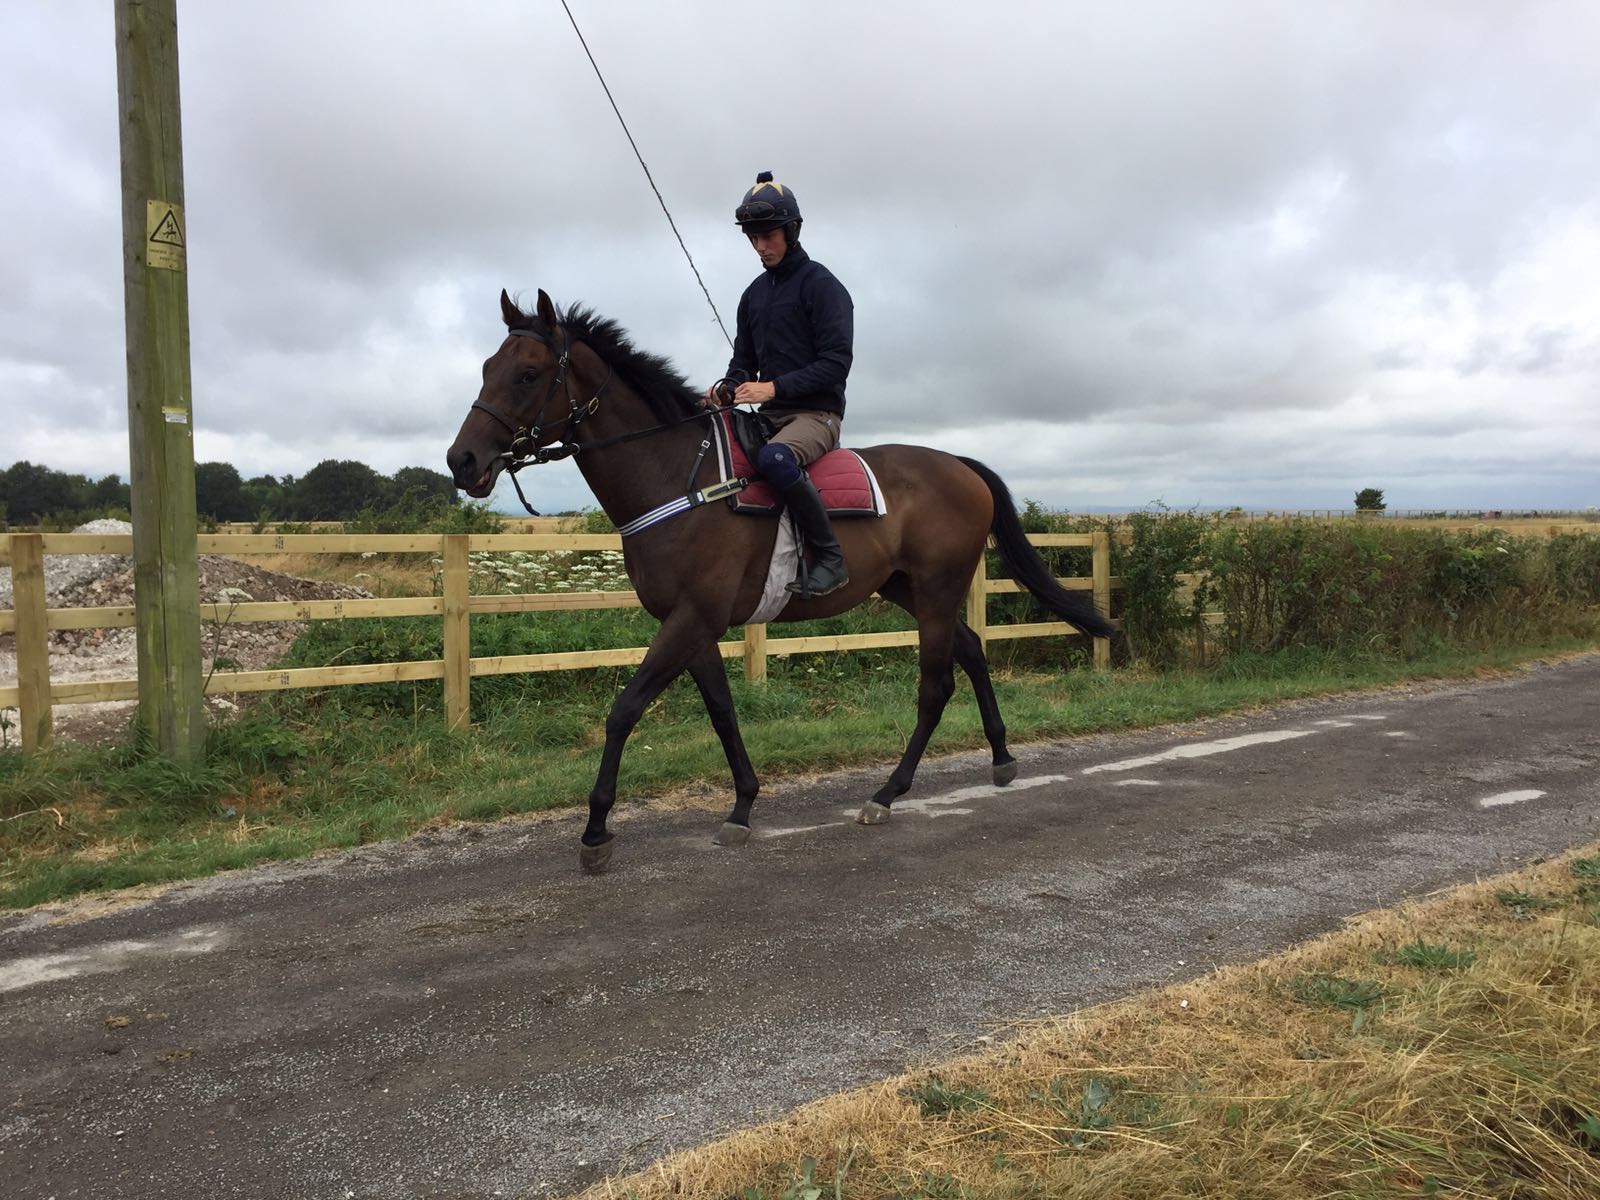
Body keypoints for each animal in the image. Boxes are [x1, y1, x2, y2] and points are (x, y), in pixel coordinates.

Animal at [447, 289, 1116, 872]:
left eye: (529, 373)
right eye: (485, 367)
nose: (463, 461)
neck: (680, 478)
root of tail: (960, 465)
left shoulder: (691, 619)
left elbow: (624, 710)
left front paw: (595, 830)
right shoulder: (691, 625)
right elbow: (721, 711)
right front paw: (742, 804)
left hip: (935, 590)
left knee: (936, 686)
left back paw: (887, 793)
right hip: (910, 588)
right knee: (973, 649)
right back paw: (1001, 757)